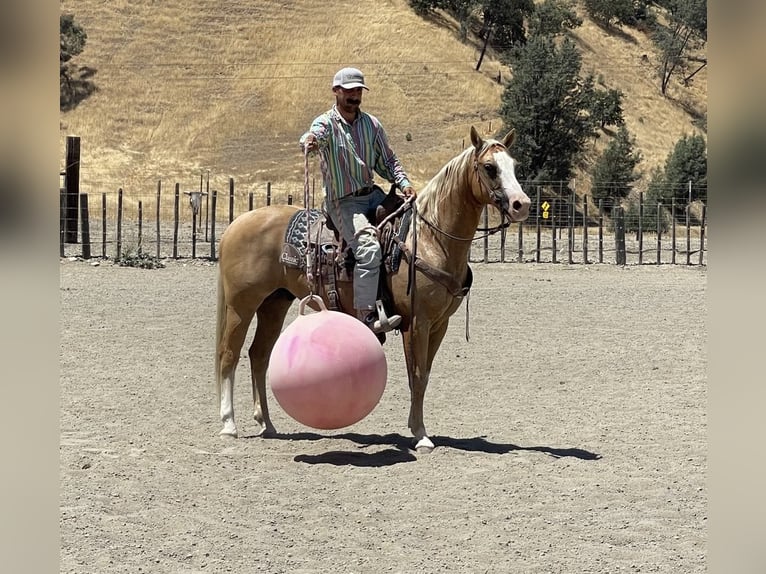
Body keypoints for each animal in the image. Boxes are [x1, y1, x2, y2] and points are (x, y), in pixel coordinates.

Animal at [213, 126, 532, 454]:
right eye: (489, 167)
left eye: (514, 165)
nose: (522, 204)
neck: (429, 239)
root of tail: (237, 224)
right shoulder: (416, 322)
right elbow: (417, 375)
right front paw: (420, 435)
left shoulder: (439, 324)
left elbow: (425, 376)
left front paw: (418, 429)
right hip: (241, 304)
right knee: (228, 354)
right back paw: (229, 425)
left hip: (274, 302)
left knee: (259, 355)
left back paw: (267, 423)